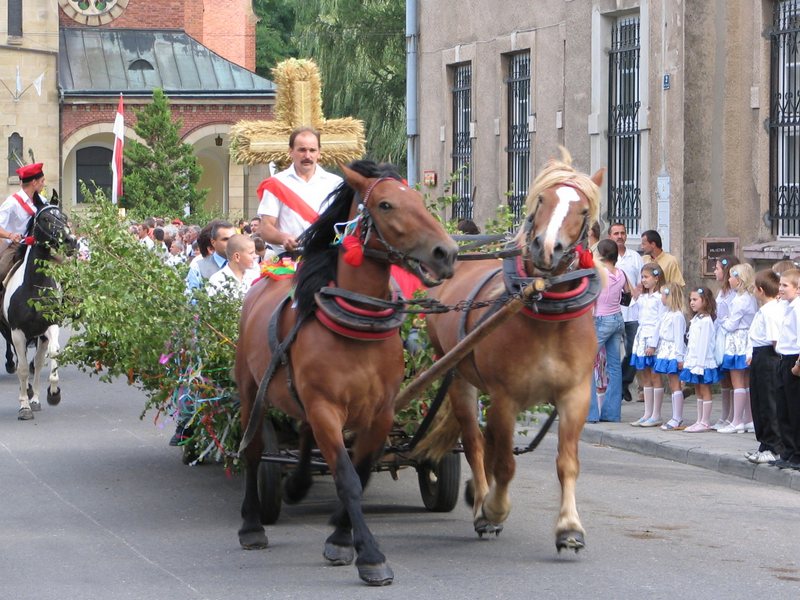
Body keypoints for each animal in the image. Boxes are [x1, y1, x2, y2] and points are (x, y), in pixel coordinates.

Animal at [1, 203, 77, 420]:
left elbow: (51, 355)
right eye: (45, 219)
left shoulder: (50, 326)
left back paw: (35, 398)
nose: (71, 241)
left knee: (38, 361)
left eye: (64, 217)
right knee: (20, 360)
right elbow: (22, 368)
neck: (35, 288)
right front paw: (24, 406)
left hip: (40, 336)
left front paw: (53, 393)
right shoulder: (17, 332)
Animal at [234, 160, 458, 586]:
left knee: (304, 431)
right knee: (253, 453)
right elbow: (348, 478)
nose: (448, 253)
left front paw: (340, 537)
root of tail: (267, 276)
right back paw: (252, 525)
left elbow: (362, 469)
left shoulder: (381, 412)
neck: (357, 327)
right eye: (386, 204)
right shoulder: (326, 408)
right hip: (250, 390)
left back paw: (299, 484)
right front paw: (369, 555)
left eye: (418, 197)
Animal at [414, 150, 603, 553]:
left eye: (582, 210)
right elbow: (504, 464)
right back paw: (481, 505)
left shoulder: (575, 395)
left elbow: (567, 463)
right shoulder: (505, 398)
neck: (546, 312)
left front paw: (569, 527)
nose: (547, 248)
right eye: (542, 200)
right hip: (458, 377)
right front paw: (493, 509)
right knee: (474, 443)